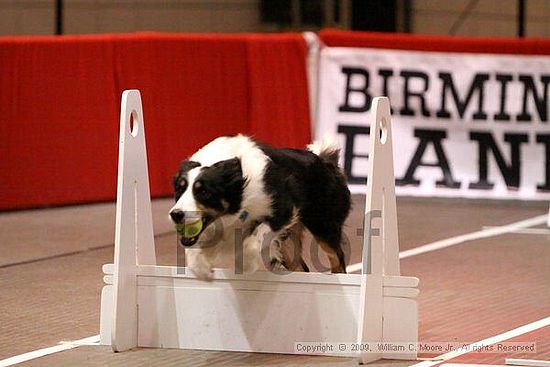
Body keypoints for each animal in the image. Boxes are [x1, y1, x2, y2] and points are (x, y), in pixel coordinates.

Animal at [168, 136, 352, 282]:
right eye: (180, 189)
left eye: (204, 192)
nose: (176, 214)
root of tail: (325, 161)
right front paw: (201, 270)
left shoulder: (284, 210)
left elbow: (258, 234)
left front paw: (247, 262)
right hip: (289, 243)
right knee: (302, 267)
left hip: (323, 224)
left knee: (337, 259)